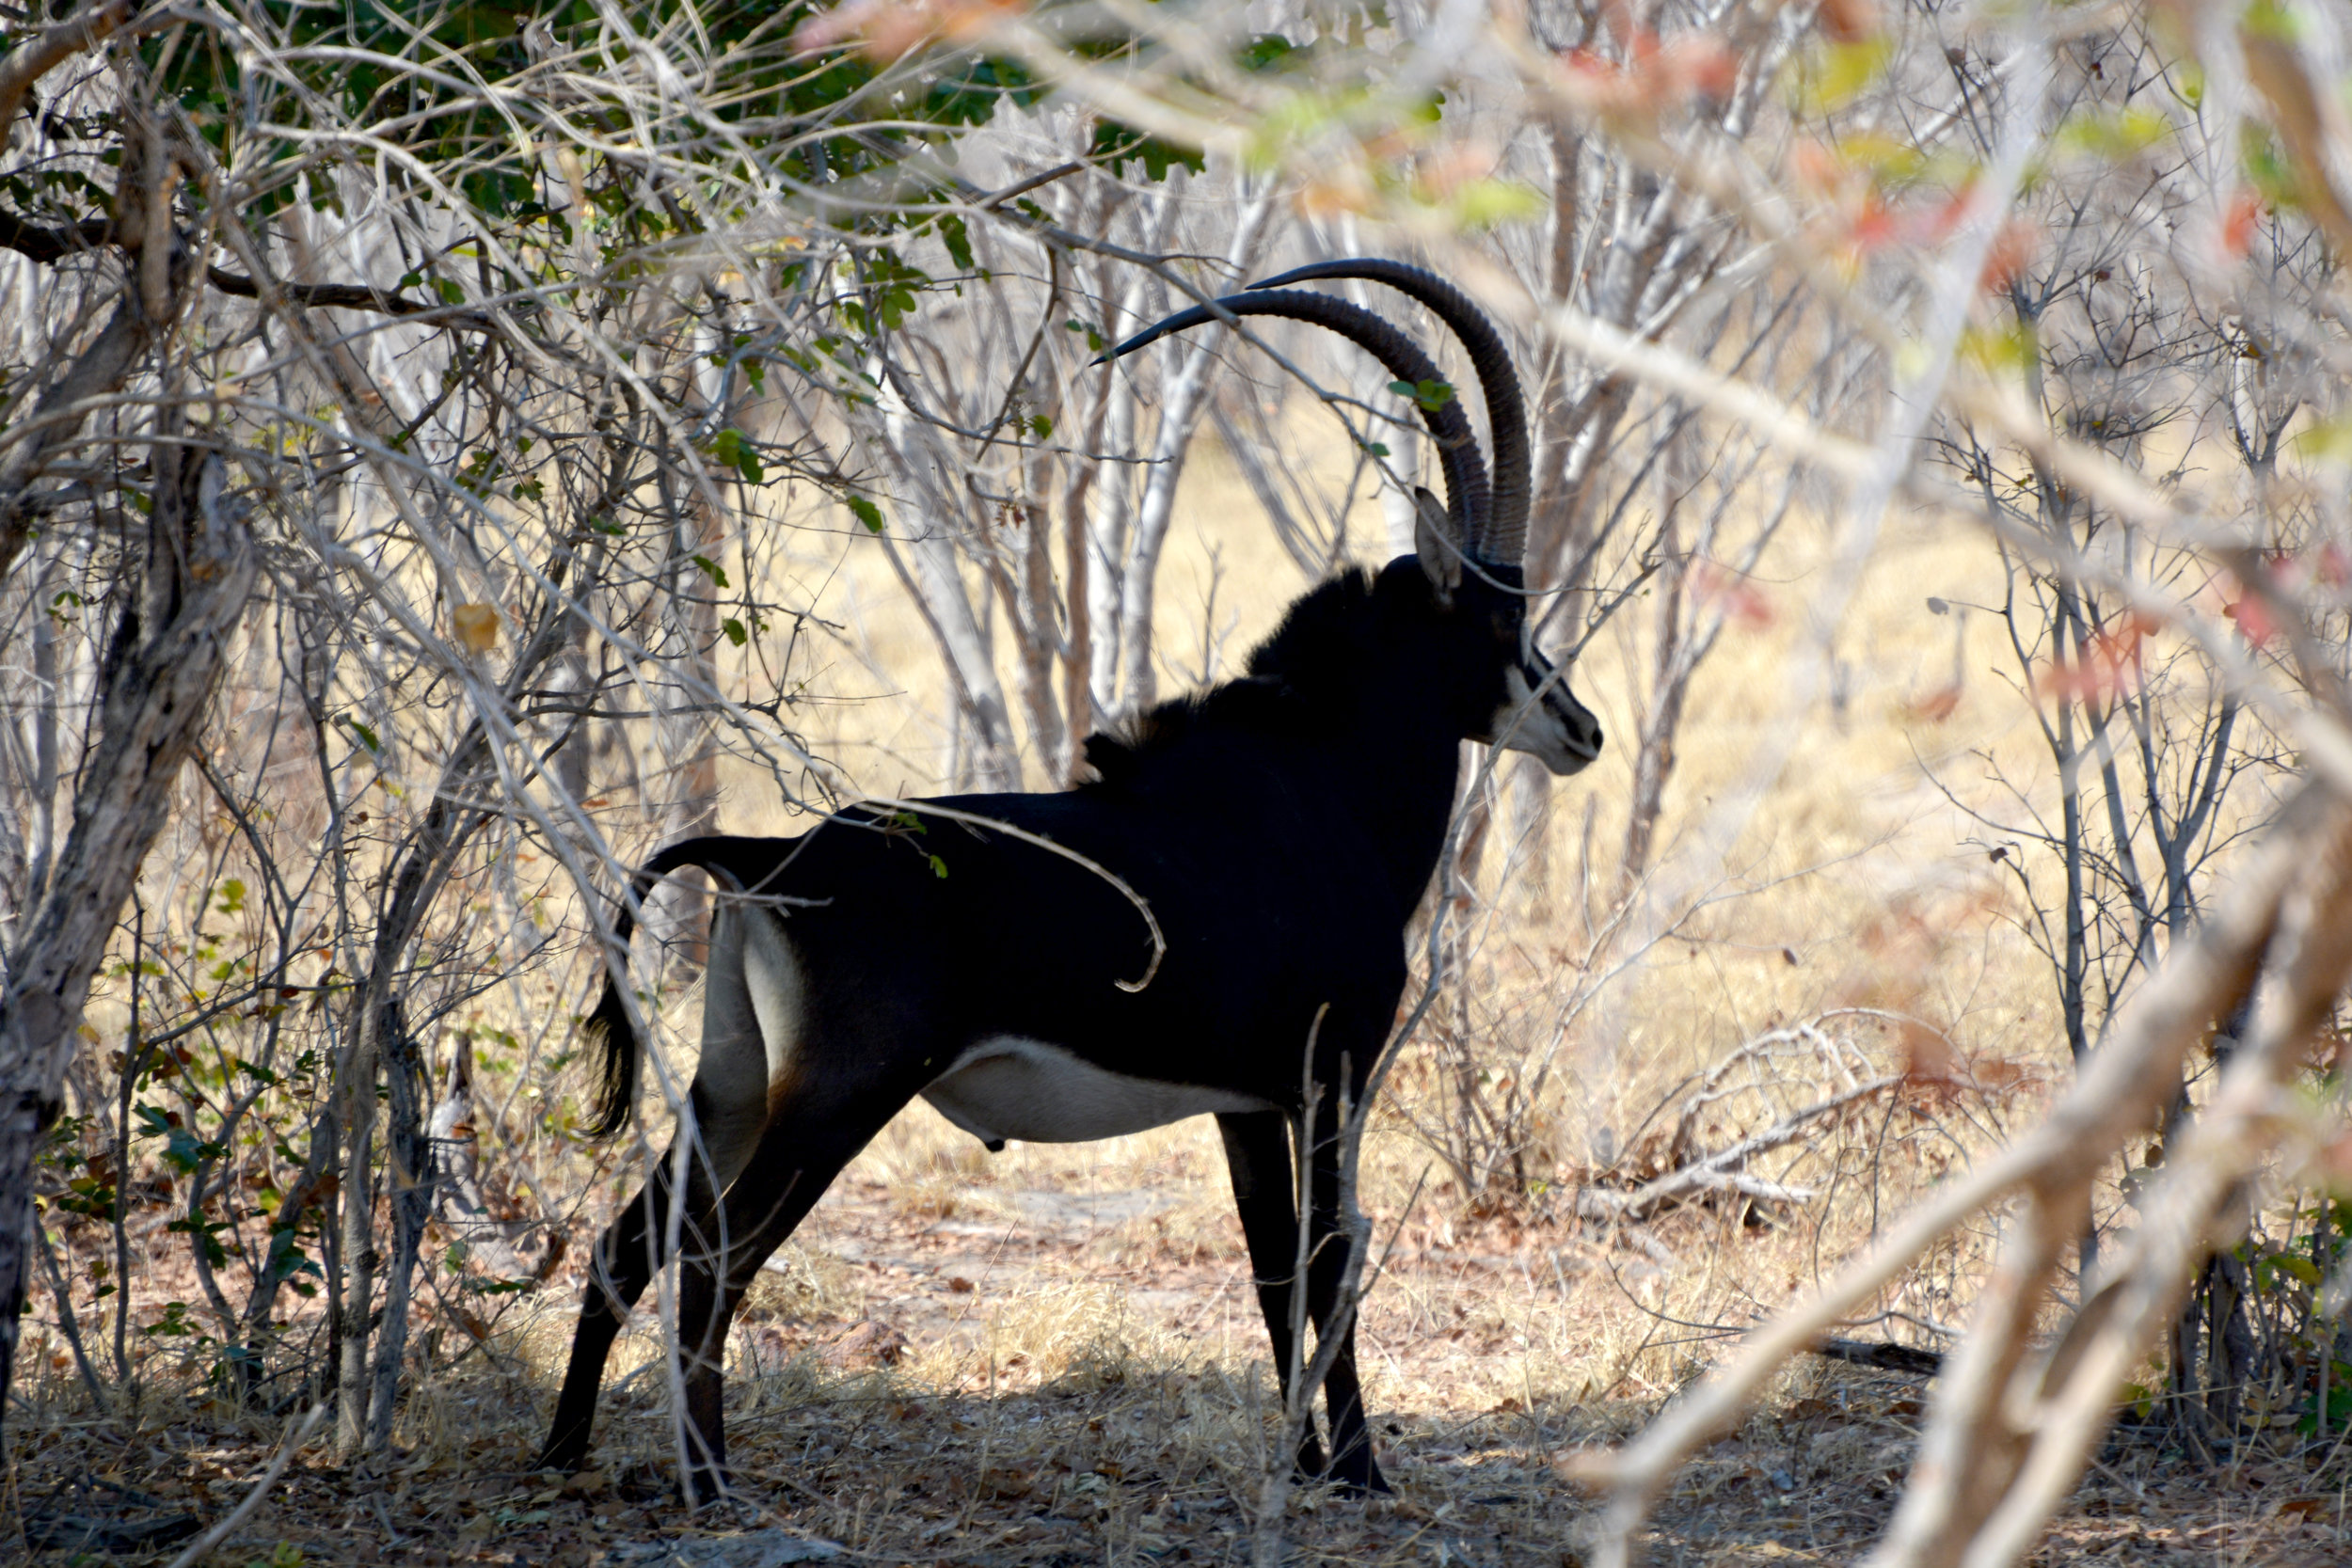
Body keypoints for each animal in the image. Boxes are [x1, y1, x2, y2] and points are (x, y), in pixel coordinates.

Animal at [538, 262, 1599, 1504]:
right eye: (1503, 611)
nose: (1580, 727)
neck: (1318, 780)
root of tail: (763, 855)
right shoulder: (1329, 1070)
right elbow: (1331, 1257)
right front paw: (1357, 1469)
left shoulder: (1245, 1101)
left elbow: (1271, 1268)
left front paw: (1299, 1461)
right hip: (837, 1095)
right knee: (712, 1266)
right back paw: (709, 1483)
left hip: (731, 1088)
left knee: (621, 1247)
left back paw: (561, 1450)